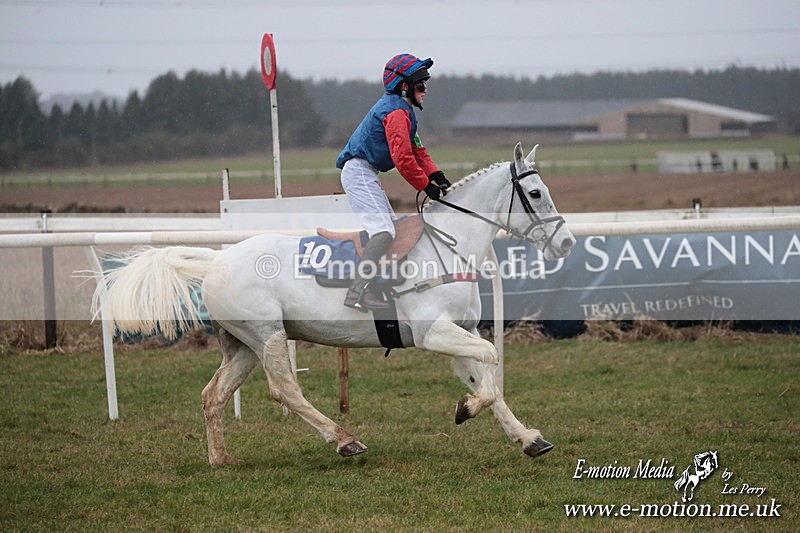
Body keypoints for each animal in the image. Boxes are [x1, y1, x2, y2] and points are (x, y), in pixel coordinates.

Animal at [93, 142, 575, 466]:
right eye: (535, 194)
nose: (567, 243)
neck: (448, 246)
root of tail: (217, 260)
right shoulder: (433, 333)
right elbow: (491, 365)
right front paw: (467, 408)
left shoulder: (462, 332)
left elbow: (488, 378)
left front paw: (527, 437)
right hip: (268, 335)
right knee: (284, 389)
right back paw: (345, 439)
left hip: (243, 345)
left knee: (214, 394)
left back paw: (221, 458)